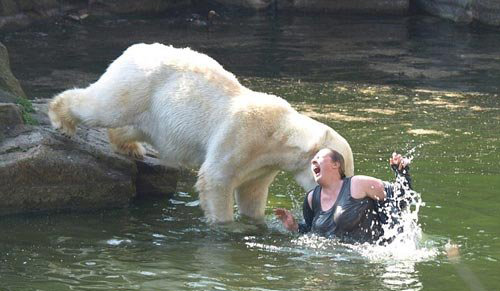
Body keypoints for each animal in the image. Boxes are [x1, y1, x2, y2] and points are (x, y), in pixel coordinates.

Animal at [48, 43, 354, 225]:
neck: (278, 133)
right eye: (343, 170)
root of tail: (132, 49)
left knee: (132, 124)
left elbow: (252, 192)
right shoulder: (242, 136)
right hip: (138, 84)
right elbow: (216, 178)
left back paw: (129, 147)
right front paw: (225, 226)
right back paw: (62, 119)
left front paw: (255, 222)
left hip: (152, 110)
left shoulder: (263, 165)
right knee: (103, 106)